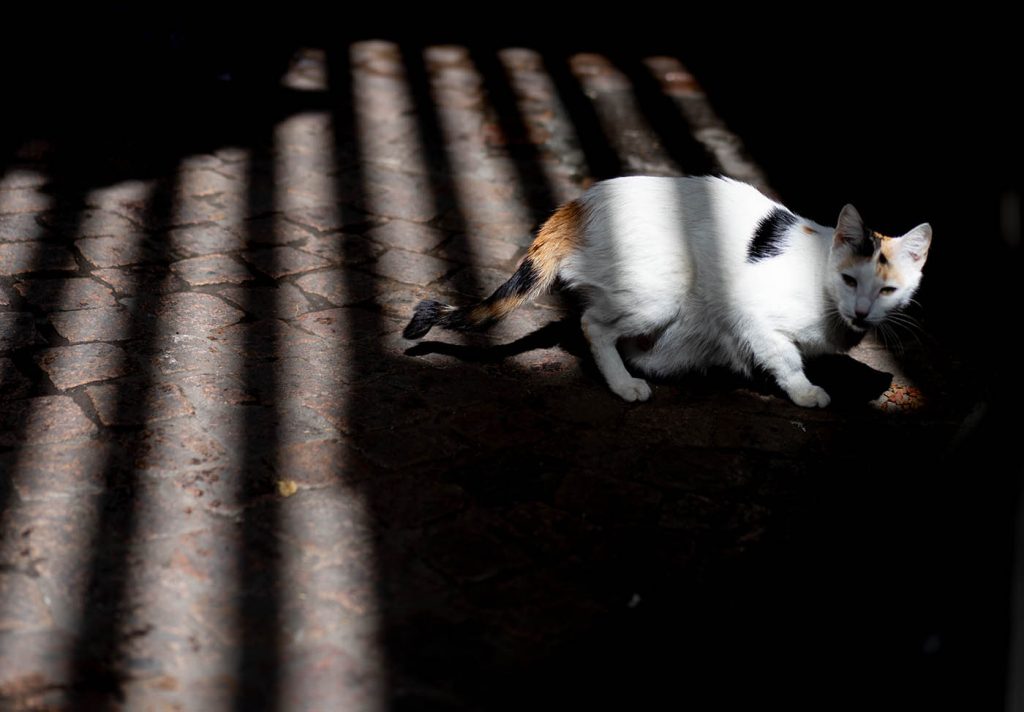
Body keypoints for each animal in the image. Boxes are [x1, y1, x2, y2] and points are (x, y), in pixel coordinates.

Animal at [403, 176, 933, 409]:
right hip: (664, 290)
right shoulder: (751, 313)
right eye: (849, 280)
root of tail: (579, 204)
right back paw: (624, 384)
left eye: (887, 290)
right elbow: (783, 355)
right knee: (593, 325)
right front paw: (804, 391)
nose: (862, 313)